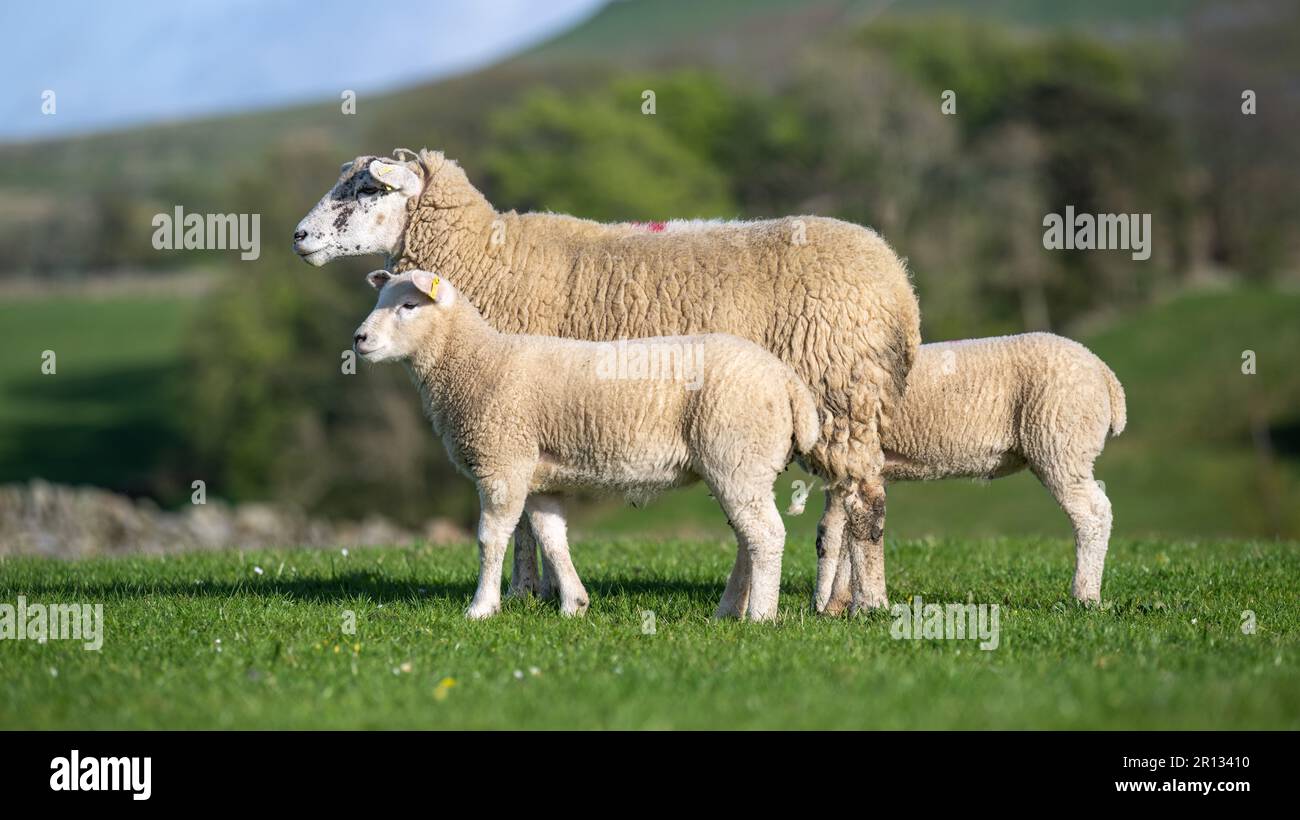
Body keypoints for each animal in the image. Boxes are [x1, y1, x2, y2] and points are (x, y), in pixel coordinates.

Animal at [350, 268, 821, 621]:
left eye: (409, 306)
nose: (359, 339)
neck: (476, 361)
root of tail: (788, 382)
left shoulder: (502, 461)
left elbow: (491, 537)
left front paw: (481, 608)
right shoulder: (540, 476)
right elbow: (552, 537)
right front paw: (574, 604)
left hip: (736, 454)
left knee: (766, 535)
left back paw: (760, 616)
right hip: (738, 464)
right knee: (747, 537)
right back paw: (728, 611)